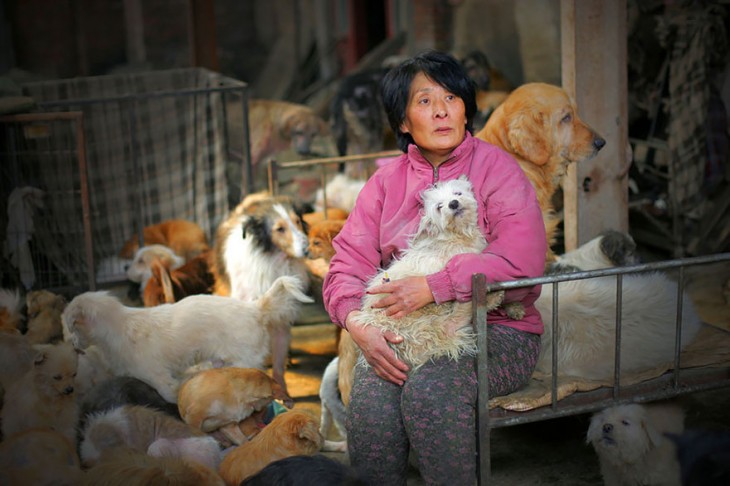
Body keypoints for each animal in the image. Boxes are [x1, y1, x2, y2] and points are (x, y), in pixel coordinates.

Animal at [61, 276, 312, 400]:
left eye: (70, 328)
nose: (71, 346)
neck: (119, 327)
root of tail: (255, 309)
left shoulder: (160, 379)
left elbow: (171, 397)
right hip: (220, 361)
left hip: (243, 362)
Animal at [352, 177, 516, 370]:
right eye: (439, 206)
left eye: (457, 193)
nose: (453, 203)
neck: (458, 236)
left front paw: (516, 308)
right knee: (450, 325)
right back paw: (487, 300)